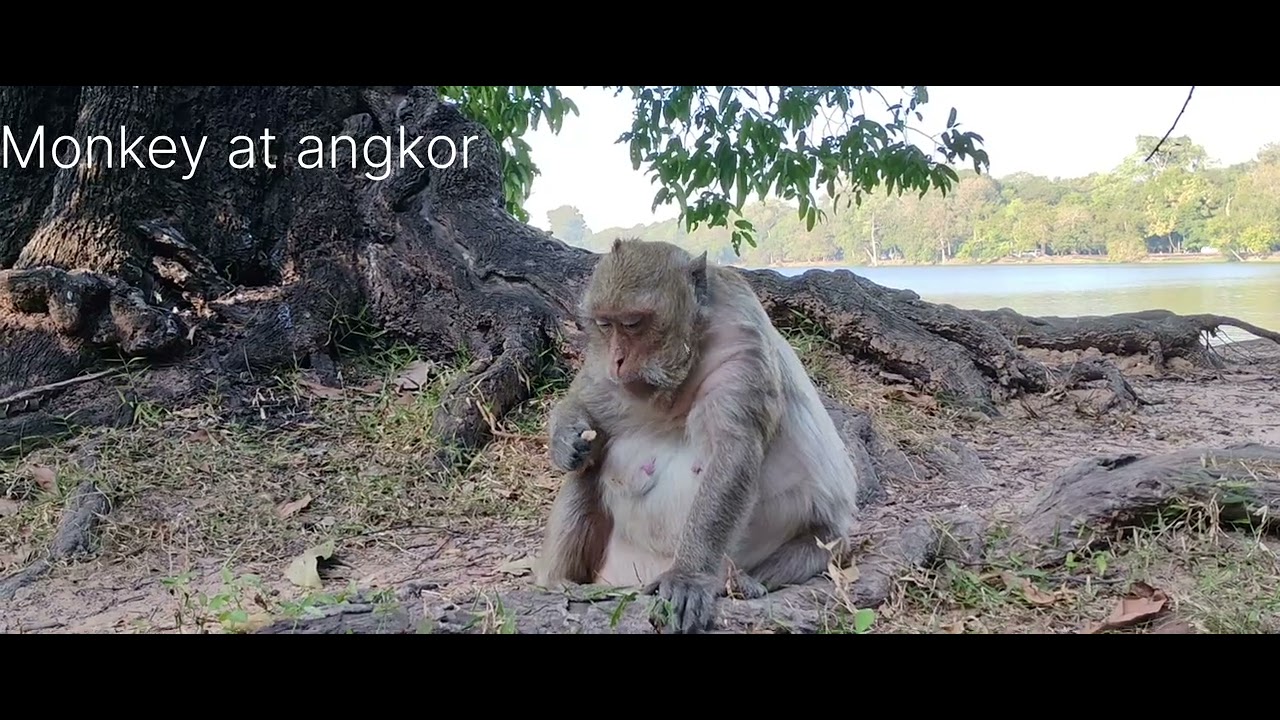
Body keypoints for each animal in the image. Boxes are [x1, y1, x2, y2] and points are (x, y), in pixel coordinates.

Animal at [532, 237, 860, 634]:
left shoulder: (740, 347)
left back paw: (742, 583)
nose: (618, 360)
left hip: (825, 538)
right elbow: (588, 398)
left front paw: (688, 578)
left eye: (632, 324)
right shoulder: (606, 367)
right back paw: (560, 583)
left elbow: (732, 453)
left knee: (818, 541)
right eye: (605, 325)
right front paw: (565, 439)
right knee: (587, 472)